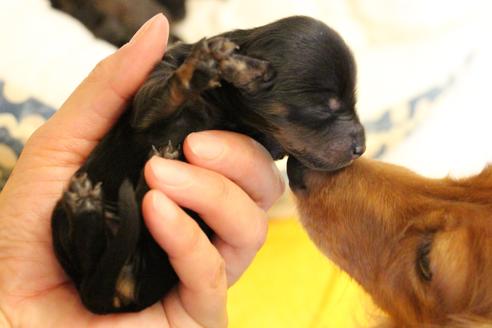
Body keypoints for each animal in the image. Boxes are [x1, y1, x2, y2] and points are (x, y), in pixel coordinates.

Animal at [52, 16, 366, 316]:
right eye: (324, 108)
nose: (360, 148)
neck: (224, 108)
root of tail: (123, 297)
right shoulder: (148, 98)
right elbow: (159, 98)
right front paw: (205, 69)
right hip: (61, 229)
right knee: (87, 251)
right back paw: (85, 204)